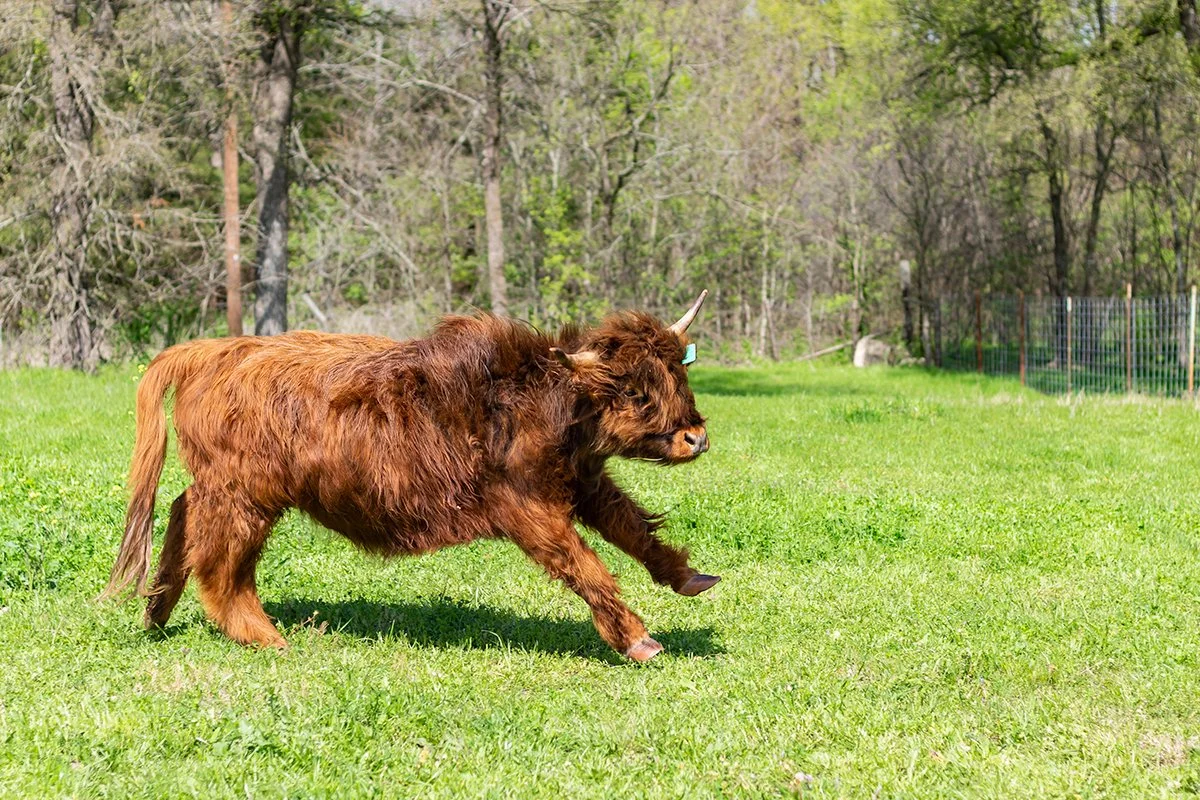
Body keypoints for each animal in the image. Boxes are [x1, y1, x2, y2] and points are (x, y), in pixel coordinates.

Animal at [102, 292, 718, 662]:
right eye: (633, 391)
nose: (696, 437)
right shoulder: (525, 508)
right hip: (244, 496)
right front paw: (638, 638)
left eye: (678, 376)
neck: (546, 402)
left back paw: (156, 611)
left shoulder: (583, 481)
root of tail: (215, 350)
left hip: (224, 488)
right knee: (221, 566)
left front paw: (690, 578)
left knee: (182, 512)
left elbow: (633, 526)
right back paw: (268, 637)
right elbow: (584, 564)